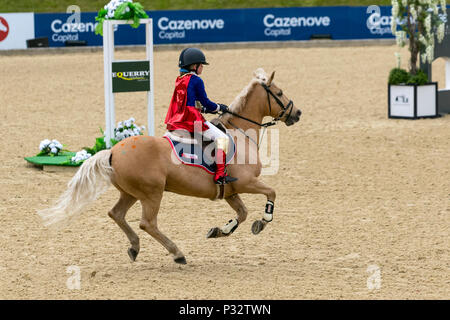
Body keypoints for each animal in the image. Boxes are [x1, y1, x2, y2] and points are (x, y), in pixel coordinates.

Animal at [37, 69, 298, 264]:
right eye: (279, 92)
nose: (297, 113)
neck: (240, 132)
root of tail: (112, 151)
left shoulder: (230, 191)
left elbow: (241, 214)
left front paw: (221, 230)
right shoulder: (246, 182)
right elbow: (271, 193)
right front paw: (263, 221)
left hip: (131, 193)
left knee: (116, 214)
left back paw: (135, 247)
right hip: (152, 193)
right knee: (147, 223)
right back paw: (177, 253)